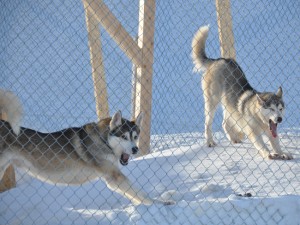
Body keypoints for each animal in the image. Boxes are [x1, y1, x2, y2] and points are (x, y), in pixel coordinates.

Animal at [0, 89, 172, 205]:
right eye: (124, 137)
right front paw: (160, 203)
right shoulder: (114, 176)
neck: (104, 140)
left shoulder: (112, 178)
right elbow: (142, 194)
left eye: (135, 137)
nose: (135, 149)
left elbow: (135, 195)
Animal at [192, 25, 292, 160]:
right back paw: (210, 141)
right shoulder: (253, 132)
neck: (259, 119)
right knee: (208, 123)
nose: (279, 119)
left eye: (280, 109)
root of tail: (218, 60)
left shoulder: (271, 131)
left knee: (224, 123)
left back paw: (234, 139)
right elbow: (261, 145)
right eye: (271, 109)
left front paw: (282, 153)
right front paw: (268, 153)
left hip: (229, 105)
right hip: (212, 102)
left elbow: (276, 144)